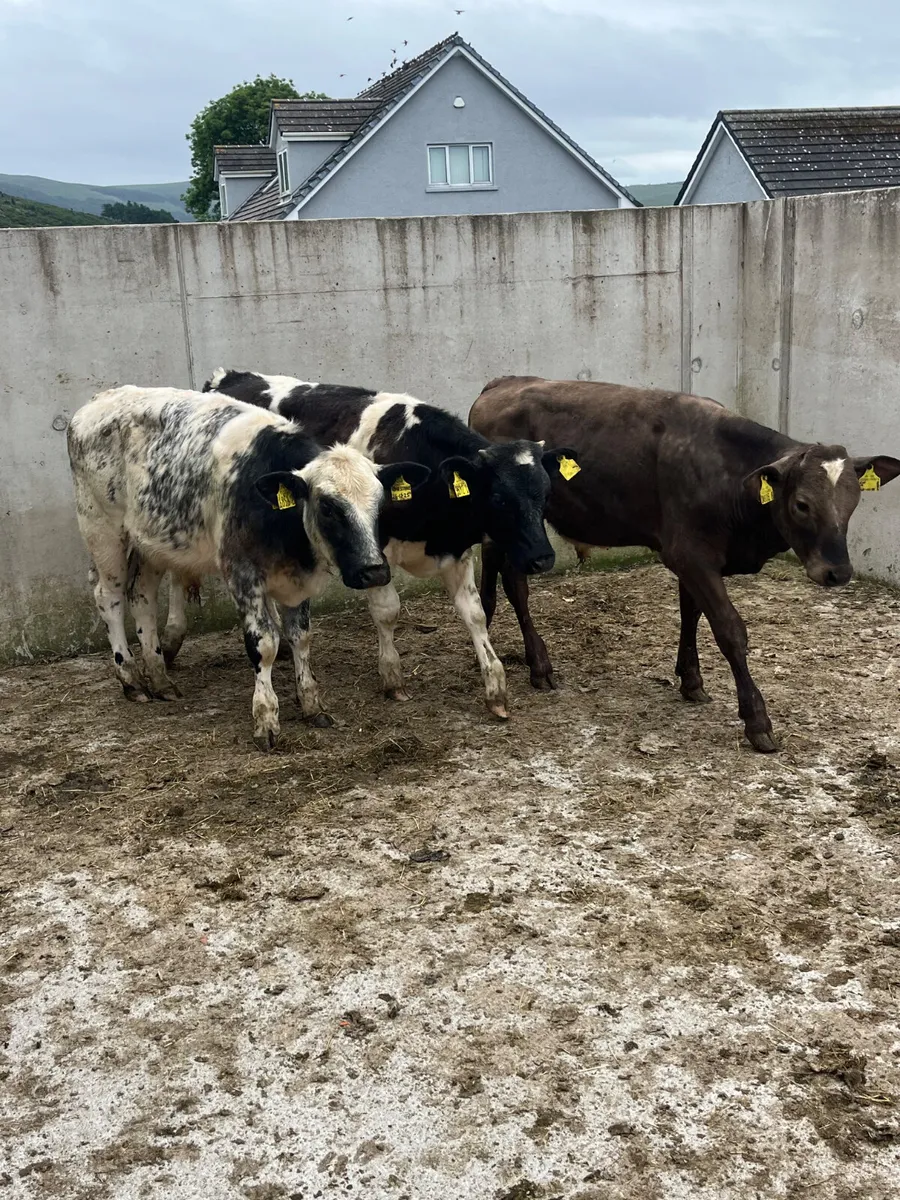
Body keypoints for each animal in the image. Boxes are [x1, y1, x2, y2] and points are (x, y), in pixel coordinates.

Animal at [67, 386, 429, 750]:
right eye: (328, 508)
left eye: (381, 503)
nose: (375, 571)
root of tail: (100, 400)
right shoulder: (241, 573)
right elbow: (264, 644)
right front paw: (266, 718)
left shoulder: (297, 581)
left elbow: (300, 637)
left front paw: (311, 703)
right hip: (103, 531)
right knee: (109, 598)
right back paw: (131, 679)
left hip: (151, 543)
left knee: (141, 597)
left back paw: (159, 678)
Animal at [185, 368, 580, 719]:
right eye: (499, 499)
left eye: (545, 493)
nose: (543, 558)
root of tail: (229, 377)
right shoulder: (377, 553)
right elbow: (387, 611)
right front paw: (392, 678)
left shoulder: (458, 552)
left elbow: (475, 614)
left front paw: (495, 689)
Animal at [469, 376, 900, 753]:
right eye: (802, 505)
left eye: (853, 502)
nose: (837, 572)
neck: (730, 476)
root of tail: (502, 383)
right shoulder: (689, 553)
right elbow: (729, 630)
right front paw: (757, 721)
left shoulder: (692, 557)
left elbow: (690, 613)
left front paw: (691, 680)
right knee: (516, 586)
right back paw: (539, 665)